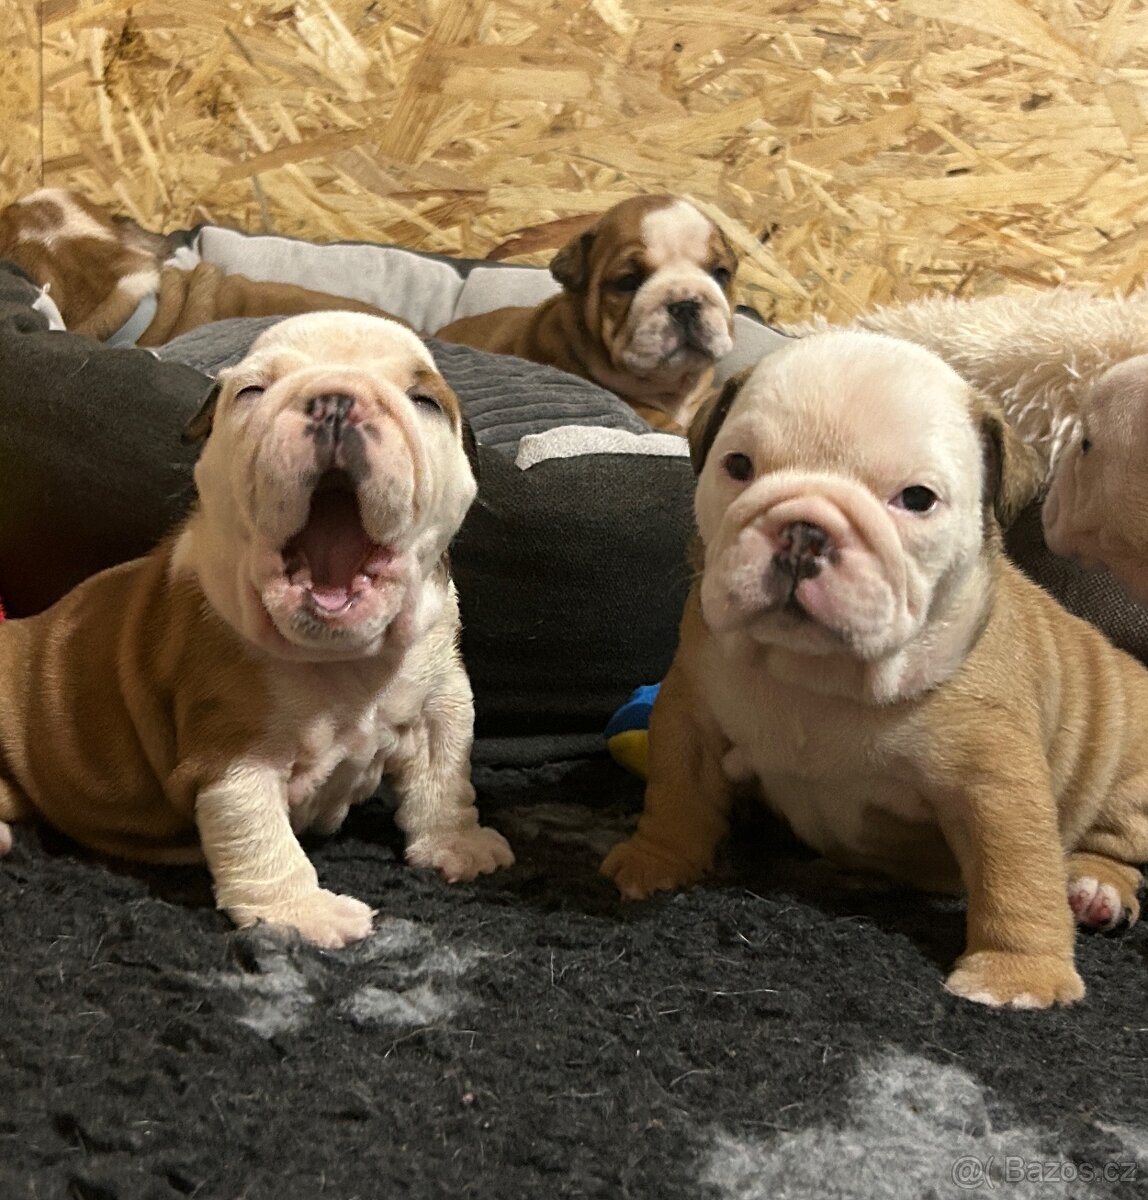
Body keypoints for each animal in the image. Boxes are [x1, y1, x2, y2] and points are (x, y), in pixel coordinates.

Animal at [0, 312, 512, 947]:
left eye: (426, 401)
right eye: (250, 391)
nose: (335, 401)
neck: (341, 658)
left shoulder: (442, 694)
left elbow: (444, 774)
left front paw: (458, 846)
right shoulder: (233, 750)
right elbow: (259, 834)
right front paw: (303, 913)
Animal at [601, 330, 1148, 1008]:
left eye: (916, 500)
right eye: (739, 467)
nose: (803, 531)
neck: (818, 673)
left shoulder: (993, 784)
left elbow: (1017, 873)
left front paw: (1016, 976)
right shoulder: (692, 711)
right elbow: (677, 791)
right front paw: (656, 861)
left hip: (1126, 772)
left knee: (1112, 844)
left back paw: (1095, 888)